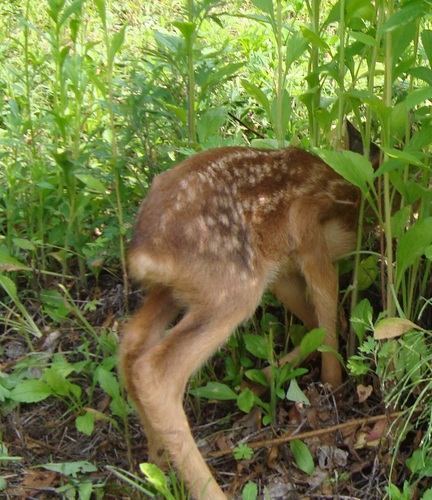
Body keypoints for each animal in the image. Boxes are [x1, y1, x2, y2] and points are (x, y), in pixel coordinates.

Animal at [120, 122, 380, 500]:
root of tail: (144, 252)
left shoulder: (278, 266)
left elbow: (312, 318)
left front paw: (267, 377)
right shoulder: (305, 222)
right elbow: (325, 292)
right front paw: (333, 381)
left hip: (179, 289)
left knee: (132, 340)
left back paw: (157, 462)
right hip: (233, 286)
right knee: (155, 370)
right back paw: (208, 489)